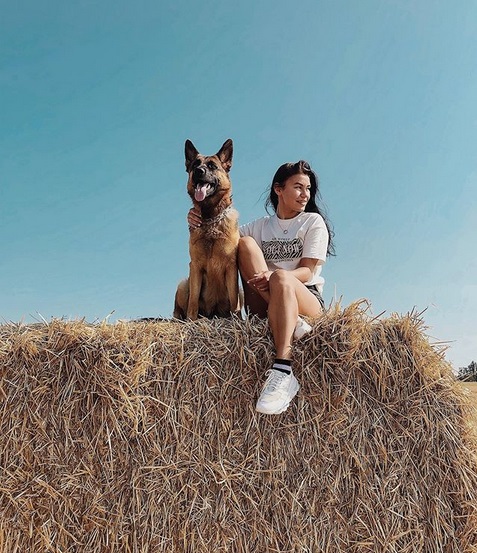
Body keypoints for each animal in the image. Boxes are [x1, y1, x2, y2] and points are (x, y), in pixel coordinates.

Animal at [173, 138, 240, 320]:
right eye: (195, 164)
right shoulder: (195, 266)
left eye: (212, 166)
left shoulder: (231, 266)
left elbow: (234, 299)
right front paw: (191, 320)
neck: (211, 220)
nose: (198, 171)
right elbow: (193, 301)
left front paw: (238, 319)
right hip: (183, 284)